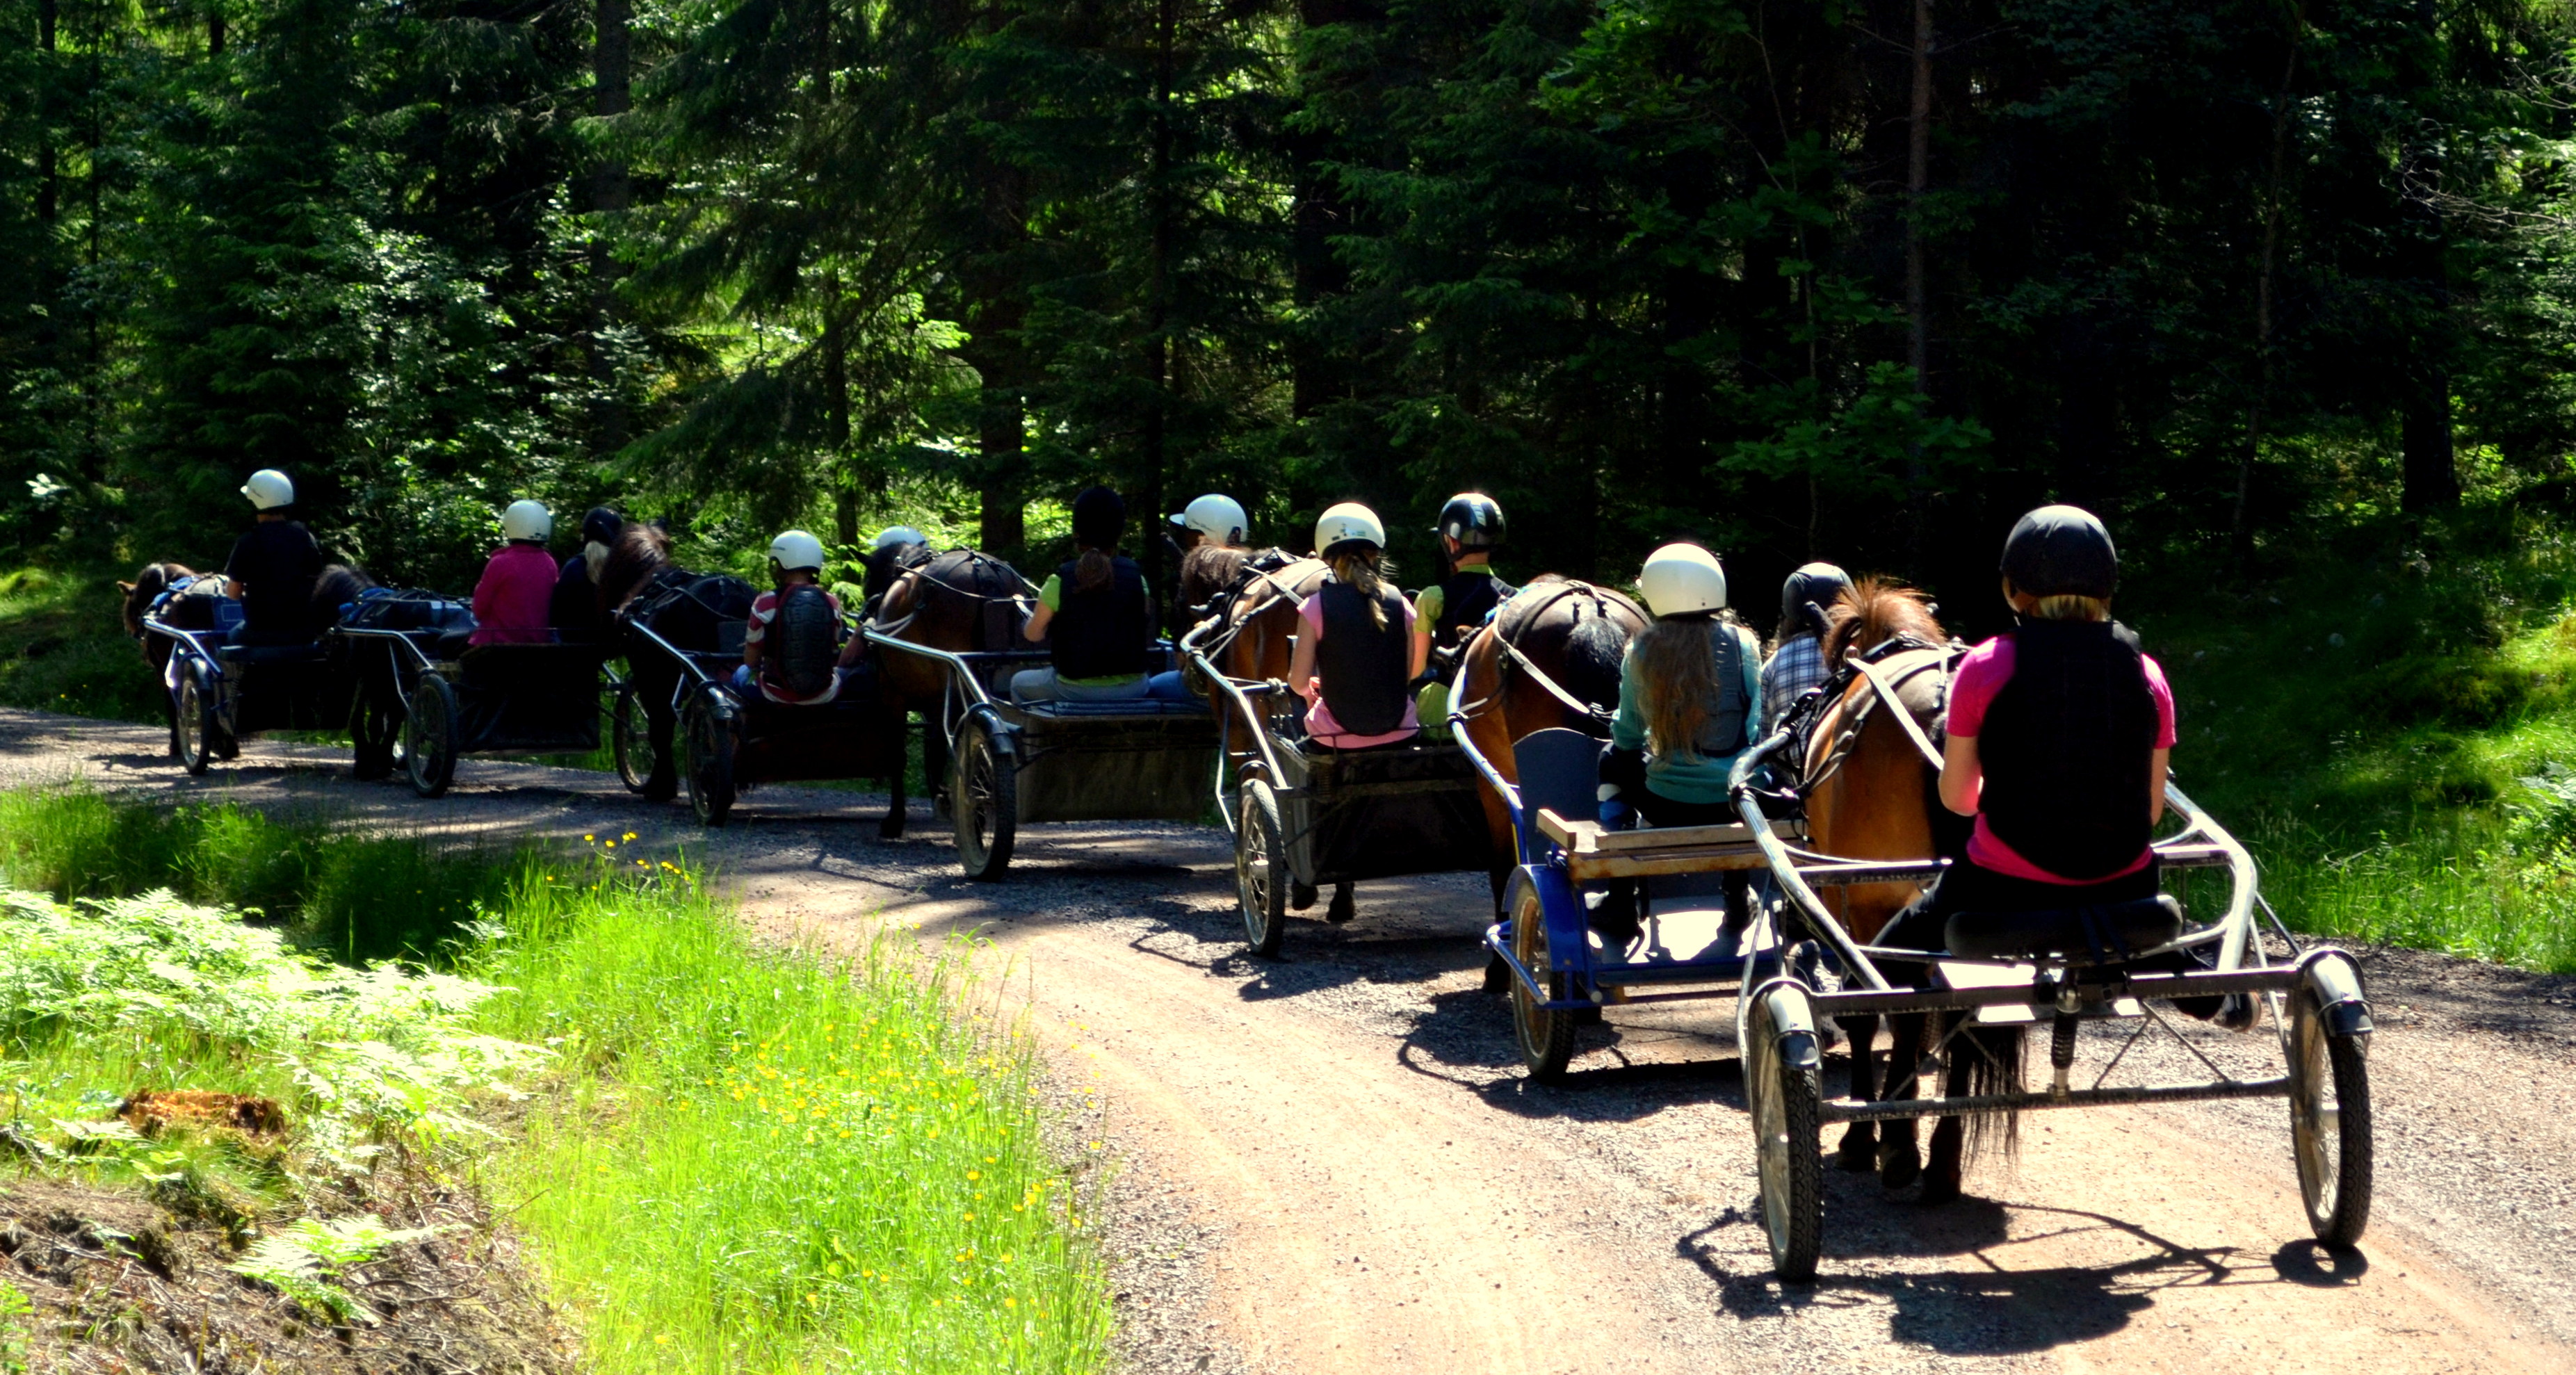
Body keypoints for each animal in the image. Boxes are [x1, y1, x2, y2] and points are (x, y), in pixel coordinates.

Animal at [1794, 578, 2003, 1201]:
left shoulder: (1850, 900)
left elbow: (1869, 1014)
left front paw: (1867, 1137)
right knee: (1964, 1018)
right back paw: (1942, 1162)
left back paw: (1902, 1149)